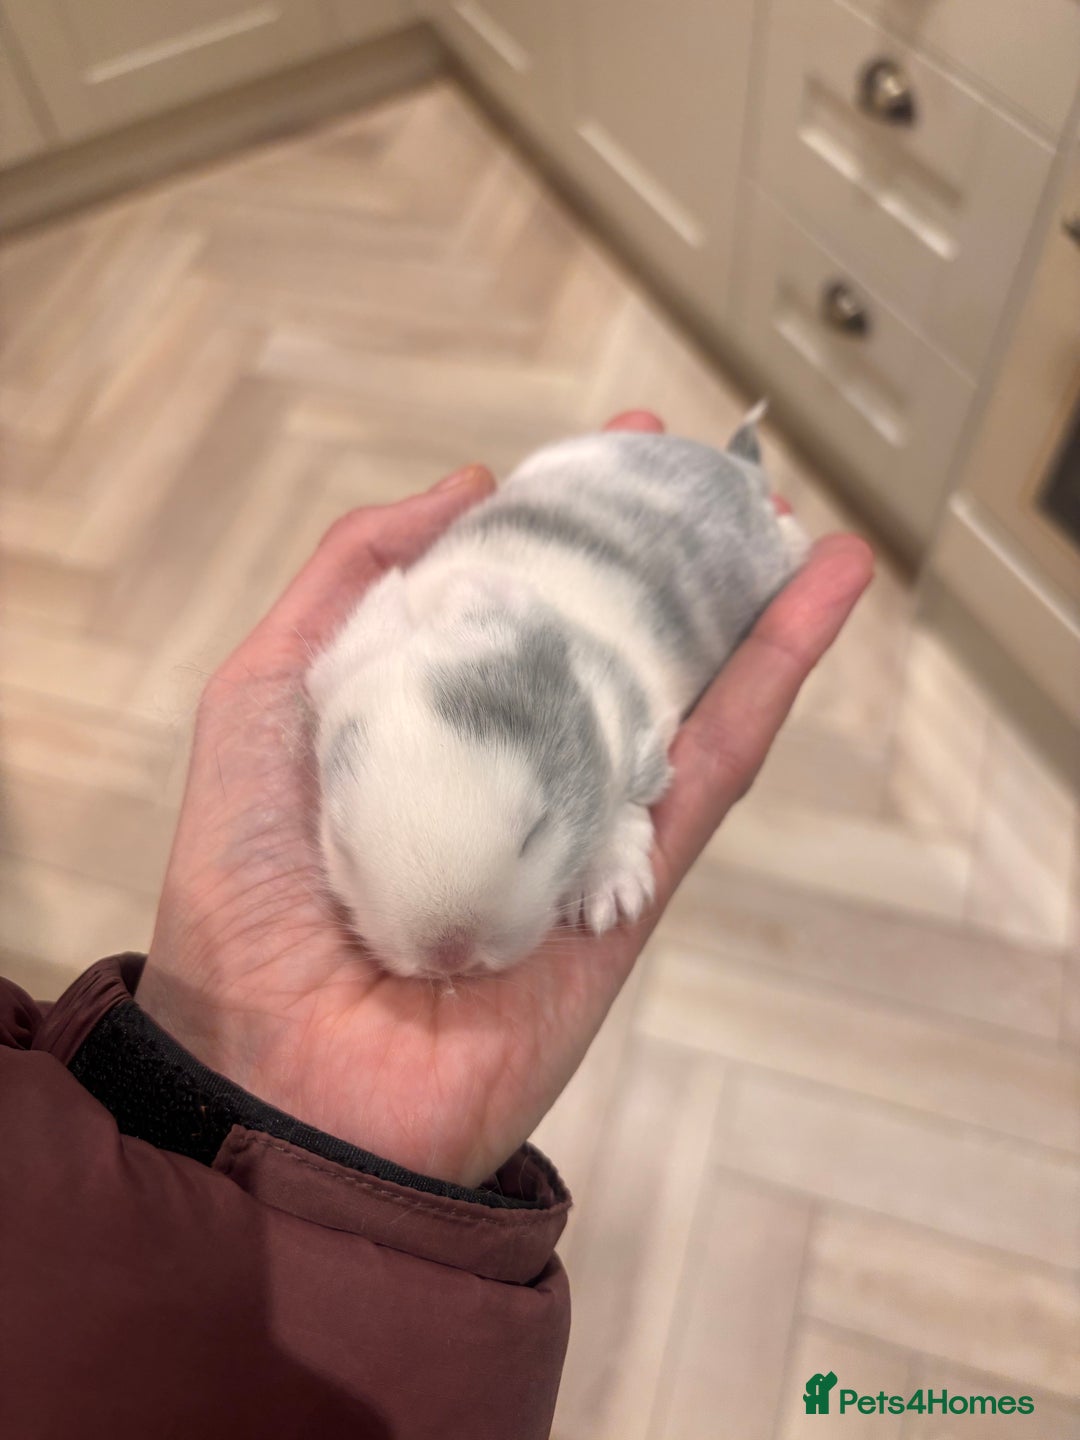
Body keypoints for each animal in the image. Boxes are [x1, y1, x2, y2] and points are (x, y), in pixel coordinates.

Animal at [306, 407, 808, 979]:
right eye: (343, 847)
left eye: (535, 831)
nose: (452, 953)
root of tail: (734, 467)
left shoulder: (636, 740)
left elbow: (626, 811)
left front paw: (611, 898)